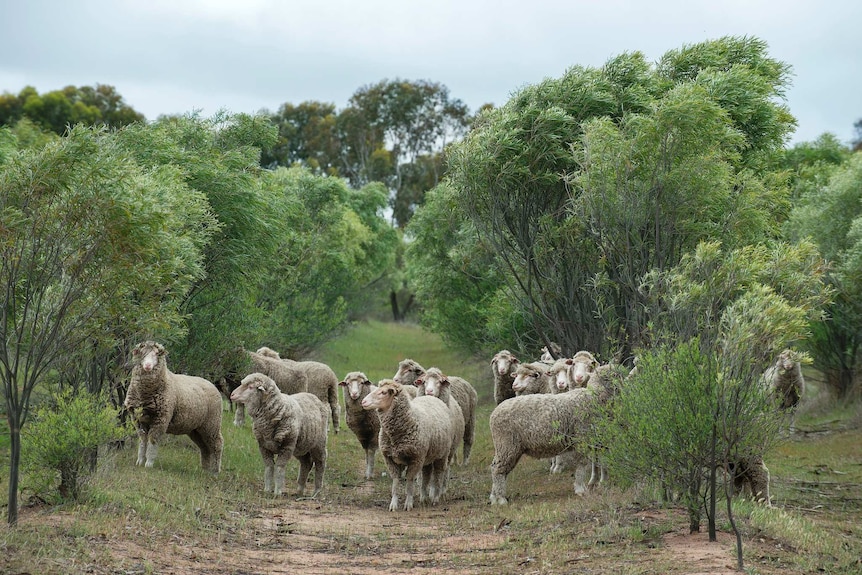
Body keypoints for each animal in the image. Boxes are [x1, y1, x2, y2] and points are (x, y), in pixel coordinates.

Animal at [126, 342, 226, 472]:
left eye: (157, 354)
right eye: (142, 353)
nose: (147, 366)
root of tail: (212, 384)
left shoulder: (161, 419)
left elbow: (152, 440)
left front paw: (149, 463)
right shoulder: (137, 419)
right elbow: (143, 440)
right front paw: (140, 461)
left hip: (212, 423)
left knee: (217, 444)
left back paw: (215, 470)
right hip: (196, 428)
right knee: (204, 447)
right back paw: (205, 469)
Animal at [362, 380, 456, 510]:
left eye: (384, 392)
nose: (363, 402)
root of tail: (432, 397)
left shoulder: (415, 459)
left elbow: (410, 481)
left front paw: (408, 503)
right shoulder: (390, 459)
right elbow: (396, 482)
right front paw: (393, 504)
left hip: (442, 454)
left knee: (438, 475)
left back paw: (435, 498)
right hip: (427, 456)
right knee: (426, 475)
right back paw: (423, 497)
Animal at [490, 362, 624, 506]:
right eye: (617, 375)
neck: (595, 396)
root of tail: (494, 413)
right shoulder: (582, 437)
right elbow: (582, 464)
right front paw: (580, 488)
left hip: (506, 446)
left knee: (495, 466)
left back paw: (493, 497)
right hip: (507, 444)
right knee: (498, 470)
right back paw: (500, 499)